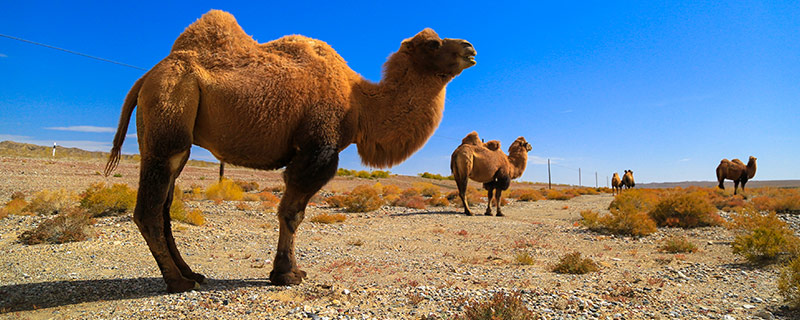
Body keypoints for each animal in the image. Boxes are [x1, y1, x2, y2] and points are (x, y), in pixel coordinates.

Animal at [102, 10, 472, 292]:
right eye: (433, 43)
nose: (470, 47)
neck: (358, 102)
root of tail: (147, 77)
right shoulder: (317, 148)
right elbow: (292, 213)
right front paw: (286, 274)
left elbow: (294, 213)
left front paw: (289, 270)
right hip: (169, 118)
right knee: (149, 210)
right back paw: (177, 282)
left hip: (176, 136)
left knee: (164, 207)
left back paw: (191, 273)